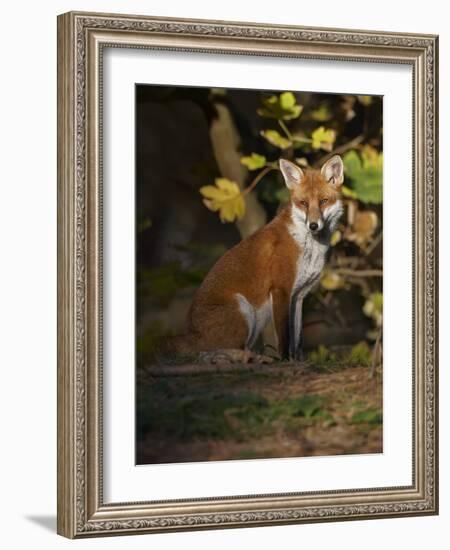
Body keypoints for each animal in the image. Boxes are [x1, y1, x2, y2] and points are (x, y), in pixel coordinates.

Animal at [171, 155, 342, 362]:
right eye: (303, 203)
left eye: (323, 201)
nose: (314, 225)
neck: (308, 246)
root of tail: (189, 334)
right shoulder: (281, 289)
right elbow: (284, 337)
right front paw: (284, 361)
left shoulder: (299, 295)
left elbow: (298, 338)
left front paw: (297, 361)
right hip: (244, 309)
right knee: (218, 351)